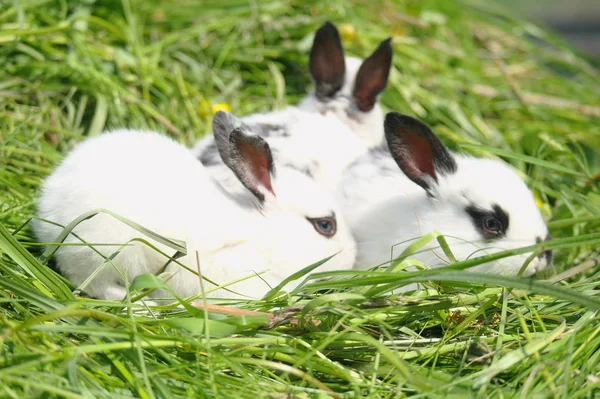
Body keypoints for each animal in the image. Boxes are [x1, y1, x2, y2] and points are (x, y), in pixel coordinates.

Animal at [32, 111, 356, 302]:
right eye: (325, 226)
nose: (353, 258)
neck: (263, 238)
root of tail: (47, 208)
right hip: (111, 252)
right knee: (94, 285)